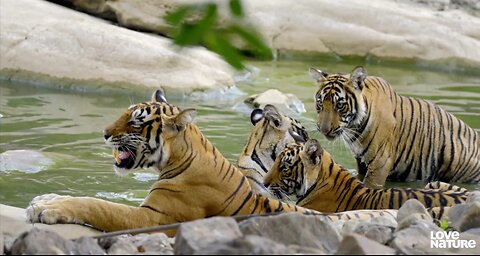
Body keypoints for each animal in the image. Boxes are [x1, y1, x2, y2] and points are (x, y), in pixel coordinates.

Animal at [310, 66, 478, 188]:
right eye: (320, 103)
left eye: (339, 105)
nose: (324, 129)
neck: (355, 128)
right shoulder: (361, 161)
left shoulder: (380, 162)